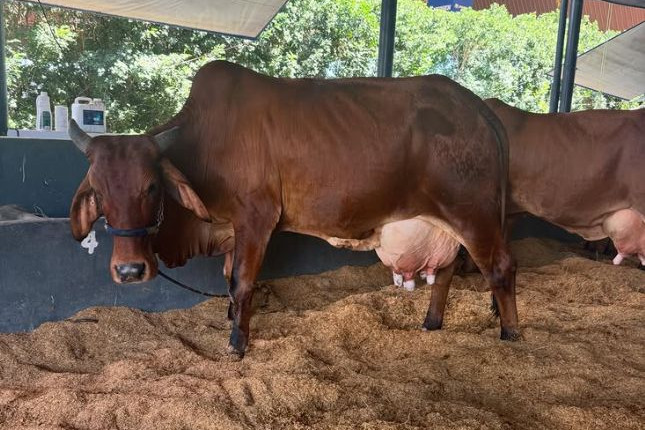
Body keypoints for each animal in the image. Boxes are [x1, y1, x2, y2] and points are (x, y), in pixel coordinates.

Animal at [68, 60, 518, 357]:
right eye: (100, 192)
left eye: (151, 186)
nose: (129, 271)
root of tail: (477, 106)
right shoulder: (233, 229)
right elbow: (229, 280)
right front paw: (232, 321)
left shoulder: (256, 218)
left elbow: (242, 282)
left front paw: (237, 344)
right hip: (445, 222)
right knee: (446, 271)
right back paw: (431, 323)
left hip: (473, 213)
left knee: (500, 268)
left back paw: (511, 335)